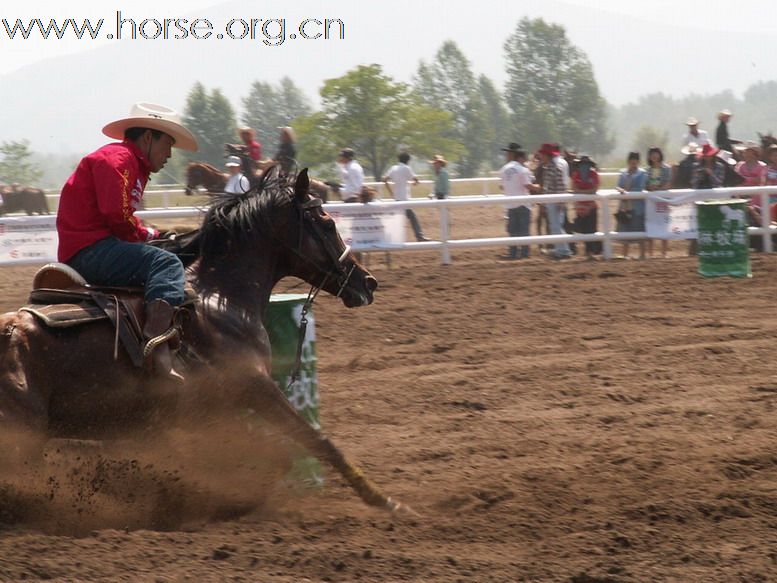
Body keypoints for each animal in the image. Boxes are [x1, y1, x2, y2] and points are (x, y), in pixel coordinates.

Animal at [0, 170, 410, 520]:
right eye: (326, 223)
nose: (368, 282)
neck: (220, 302)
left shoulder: (212, 407)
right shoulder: (254, 387)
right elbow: (314, 442)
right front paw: (385, 500)